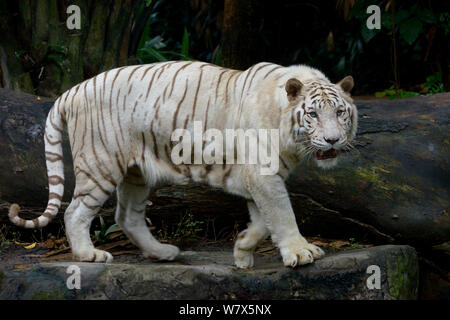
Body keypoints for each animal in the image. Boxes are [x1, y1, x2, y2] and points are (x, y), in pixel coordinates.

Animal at [8, 60, 356, 268]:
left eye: (340, 112)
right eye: (313, 114)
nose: (333, 140)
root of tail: (74, 89)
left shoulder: (255, 178)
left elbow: (262, 221)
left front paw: (242, 250)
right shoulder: (263, 174)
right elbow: (283, 214)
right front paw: (300, 252)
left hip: (136, 174)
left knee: (127, 216)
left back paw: (164, 252)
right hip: (100, 165)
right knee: (75, 211)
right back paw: (89, 254)